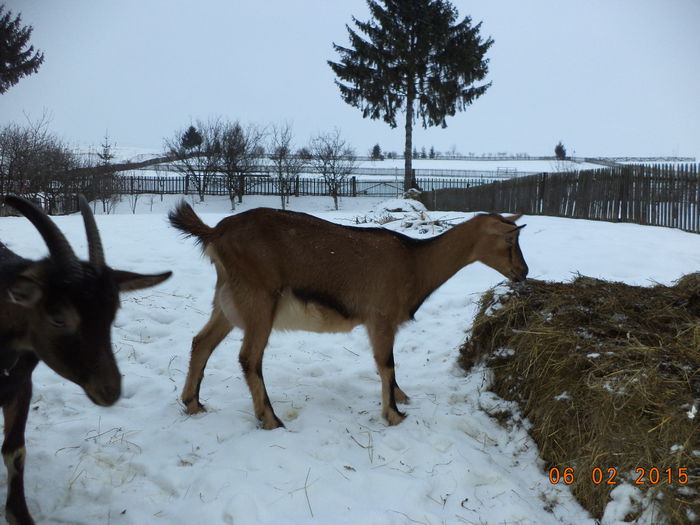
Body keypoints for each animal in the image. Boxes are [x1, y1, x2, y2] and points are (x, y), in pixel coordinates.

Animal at [170, 203, 528, 428]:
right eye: (510, 239)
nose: (523, 272)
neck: (415, 262)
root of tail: (215, 233)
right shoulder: (380, 317)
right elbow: (386, 364)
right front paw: (393, 414)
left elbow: (387, 366)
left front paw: (401, 397)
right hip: (259, 301)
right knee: (249, 358)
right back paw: (270, 419)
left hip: (228, 302)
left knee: (201, 342)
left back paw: (193, 403)